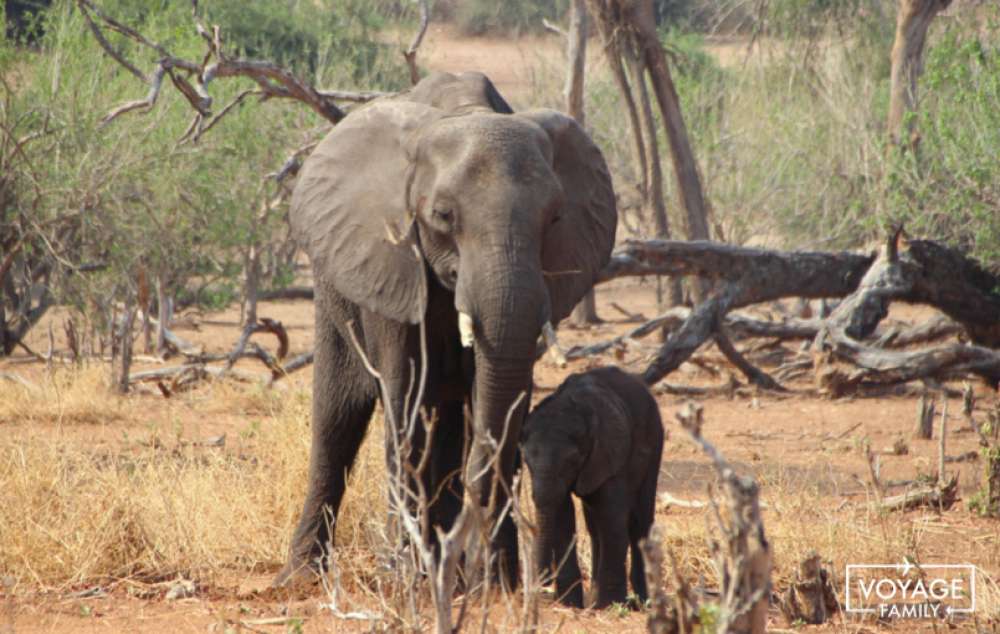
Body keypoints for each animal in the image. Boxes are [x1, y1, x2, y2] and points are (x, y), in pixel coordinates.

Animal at [276, 73, 616, 584]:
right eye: (442, 215)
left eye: (555, 218)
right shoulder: (390, 262)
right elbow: (407, 402)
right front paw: (407, 580)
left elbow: (502, 400)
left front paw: (495, 584)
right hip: (332, 286)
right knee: (338, 419)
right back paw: (303, 578)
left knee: (452, 420)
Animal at [524, 366, 664, 608]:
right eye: (526, 462)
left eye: (572, 461)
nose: (544, 581)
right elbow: (562, 515)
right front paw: (569, 604)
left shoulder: (609, 451)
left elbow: (611, 516)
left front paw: (609, 605)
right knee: (594, 525)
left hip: (655, 439)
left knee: (639, 518)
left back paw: (642, 602)